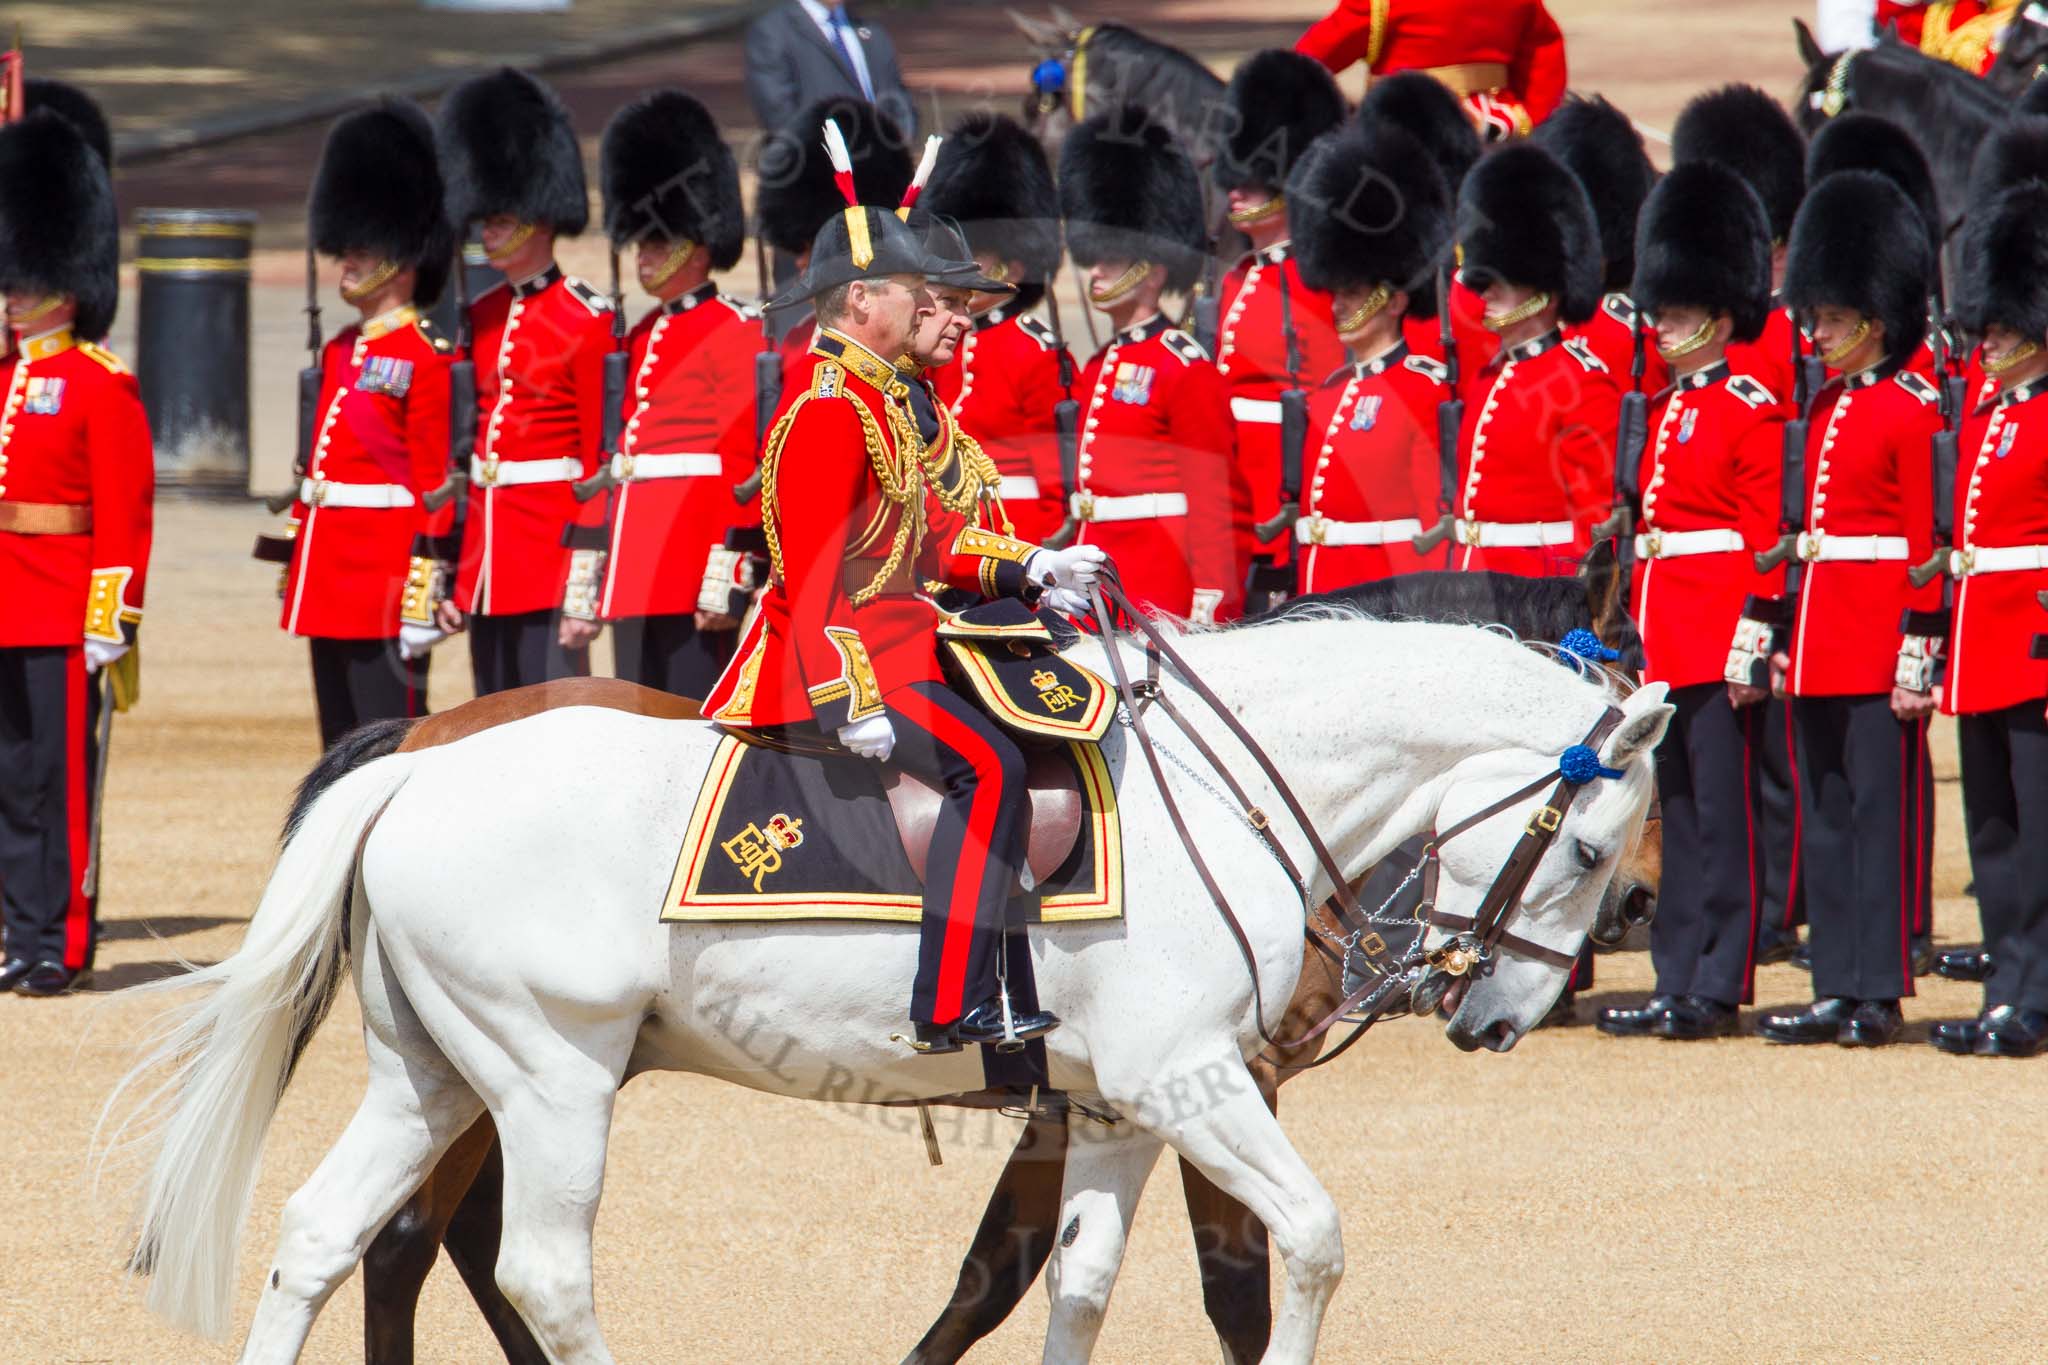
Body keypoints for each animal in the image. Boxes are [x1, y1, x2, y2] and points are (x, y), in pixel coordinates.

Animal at [103, 613, 1671, 1358]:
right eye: (1595, 849)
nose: (1495, 1019)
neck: (1217, 798)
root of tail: (424, 762)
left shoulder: (1119, 1105)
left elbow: (1073, 1286)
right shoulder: (1197, 1085)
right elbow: (1303, 1246)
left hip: (430, 1076)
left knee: (324, 1238)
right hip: (549, 1079)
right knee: (531, 1270)